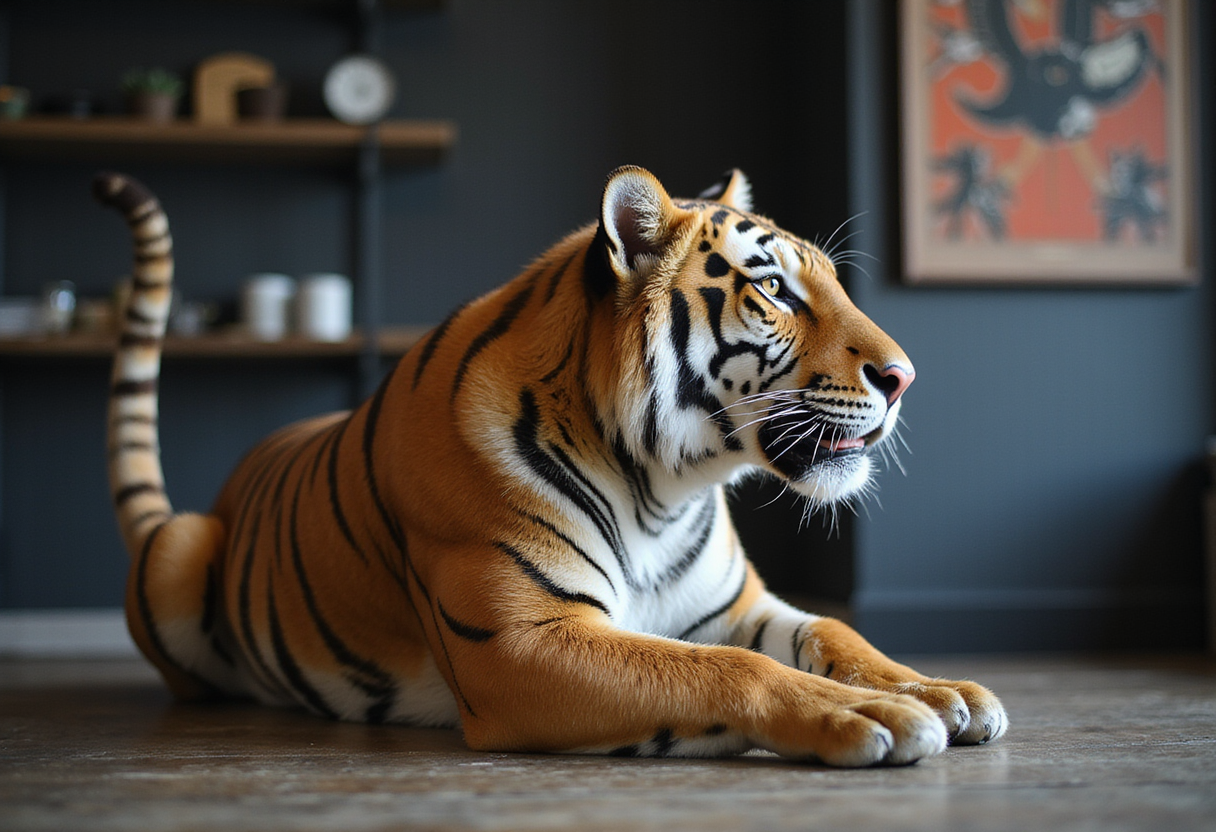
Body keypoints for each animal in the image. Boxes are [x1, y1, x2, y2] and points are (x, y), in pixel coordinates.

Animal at [96, 165, 1007, 767]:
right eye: (774, 289)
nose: (904, 377)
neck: (664, 488)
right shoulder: (522, 643)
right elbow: (732, 671)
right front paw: (876, 713)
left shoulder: (735, 608)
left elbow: (834, 630)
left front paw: (939, 690)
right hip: (180, 547)